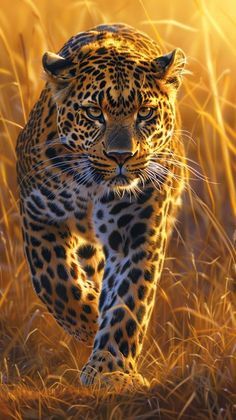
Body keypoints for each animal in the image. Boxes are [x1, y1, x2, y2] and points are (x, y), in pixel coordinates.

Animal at [16, 23, 186, 390]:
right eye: (95, 112)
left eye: (145, 112)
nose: (121, 156)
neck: (94, 187)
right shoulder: (38, 216)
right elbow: (56, 283)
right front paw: (89, 321)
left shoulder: (135, 232)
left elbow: (128, 299)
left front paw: (111, 369)